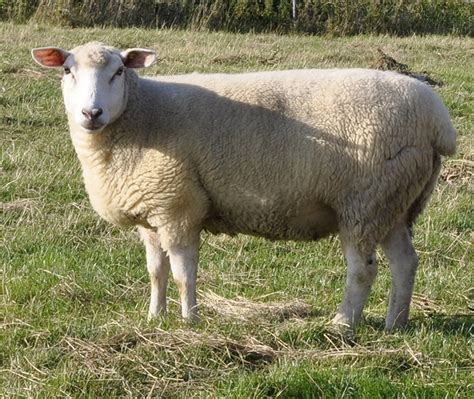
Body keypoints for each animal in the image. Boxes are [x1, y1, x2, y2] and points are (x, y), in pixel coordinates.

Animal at [32, 42, 456, 332]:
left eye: (119, 71)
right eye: (67, 70)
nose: (91, 113)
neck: (140, 112)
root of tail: (437, 119)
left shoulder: (178, 206)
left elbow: (183, 272)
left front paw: (189, 321)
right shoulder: (151, 214)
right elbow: (156, 271)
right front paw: (155, 316)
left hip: (364, 201)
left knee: (363, 269)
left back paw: (341, 323)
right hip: (393, 202)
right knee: (405, 262)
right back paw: (396, 323)